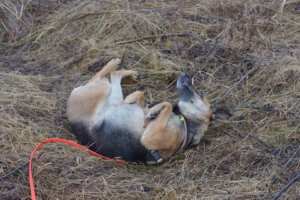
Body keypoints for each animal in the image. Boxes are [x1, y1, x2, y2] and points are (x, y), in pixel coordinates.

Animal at [66, 57, 230, 164]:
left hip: (102, 91)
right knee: (112, 79)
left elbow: (166, 104)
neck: (186, 122)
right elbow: (144, 97)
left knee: (104, 78)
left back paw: (116, 66)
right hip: (109, 95)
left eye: (200, 94)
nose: (186, 75)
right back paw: (121, 69)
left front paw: (152, 112)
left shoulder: (148, 139)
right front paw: (147, 107)